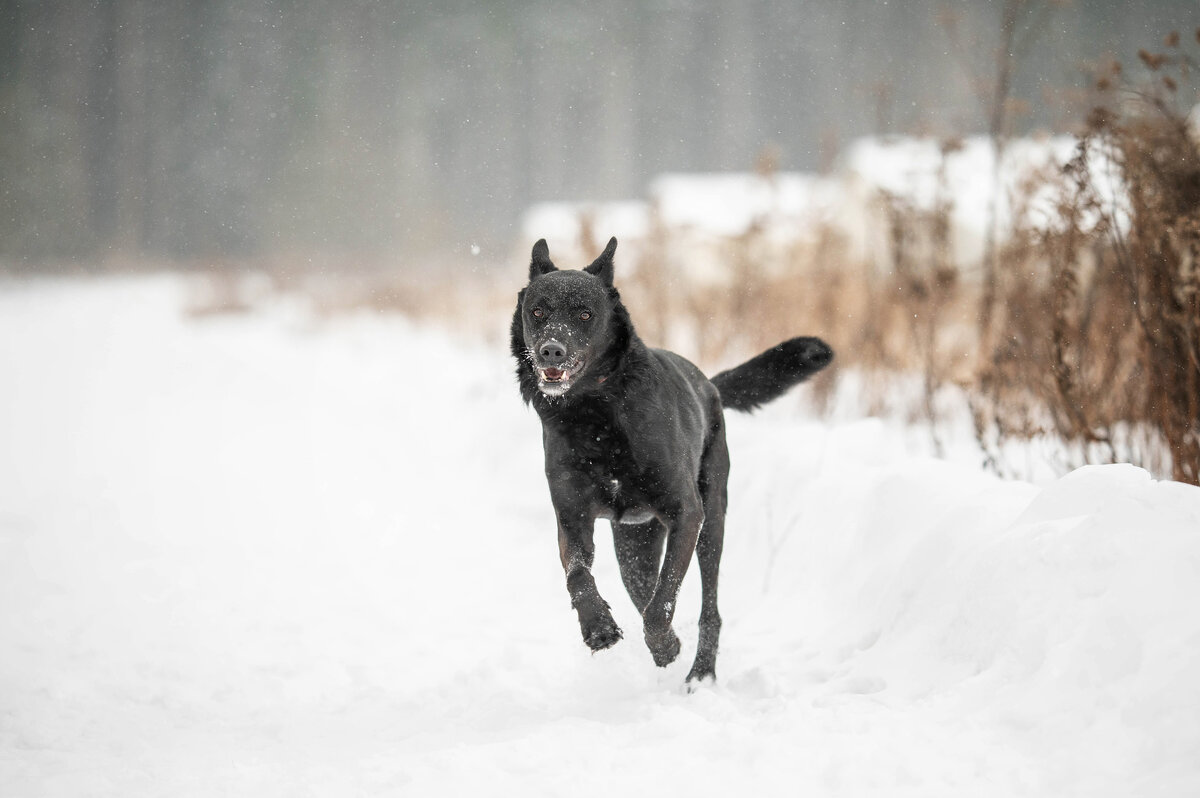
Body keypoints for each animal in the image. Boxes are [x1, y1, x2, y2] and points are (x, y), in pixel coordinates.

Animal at [508, 236, 835, 686]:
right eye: (538, 311)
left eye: (585, 314)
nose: (550, 350)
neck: (597, 412)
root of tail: (709, 386)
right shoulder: (572, 517)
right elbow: (578, 576)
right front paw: (599, 628)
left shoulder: (686, 514)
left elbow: (663, 601)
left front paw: (665, 646)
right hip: (634, 546)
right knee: (642, 589)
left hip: (712, 523)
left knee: (706, 607)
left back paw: (700, 673)